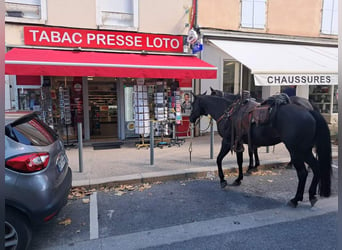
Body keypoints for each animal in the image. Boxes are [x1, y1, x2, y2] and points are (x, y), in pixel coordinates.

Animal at [190, 94, 332, 207]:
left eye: (192, 104)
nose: (190, 118)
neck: (228, 114)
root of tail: (309, 111)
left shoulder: (227, 142)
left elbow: (219, 160)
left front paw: (223, 180)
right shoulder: (239, 143)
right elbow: (240, 162)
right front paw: (239, 179)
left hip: (297, 151)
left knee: (302, 173)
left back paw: (295, 199)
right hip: (306, 151)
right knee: (316, 168)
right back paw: (312, 195)